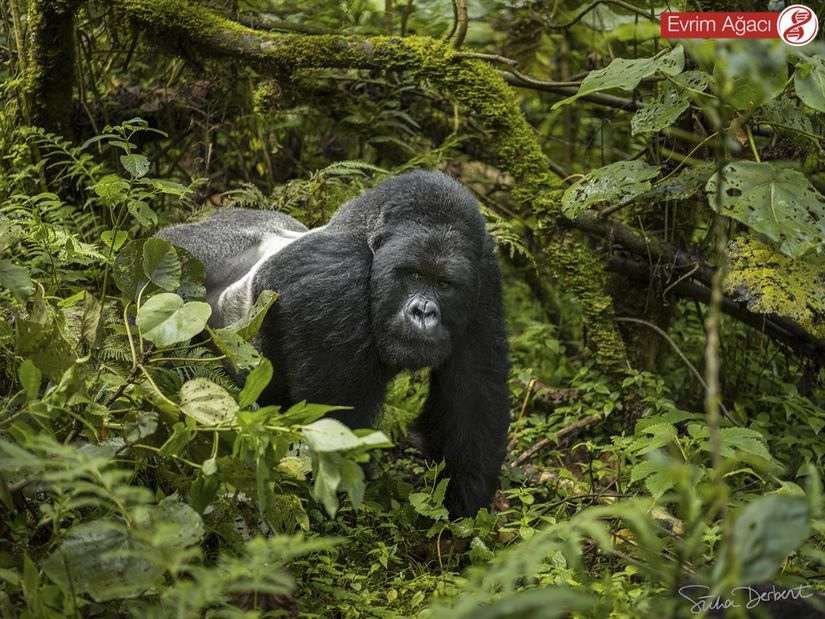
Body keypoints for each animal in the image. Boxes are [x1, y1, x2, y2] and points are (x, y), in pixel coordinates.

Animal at [156, 171, 508, 520]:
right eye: (414, 275)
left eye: (444, 284)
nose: (423, 312)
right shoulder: (338, 275)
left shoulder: (484, 277)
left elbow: (474, 398)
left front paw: (462, 501)